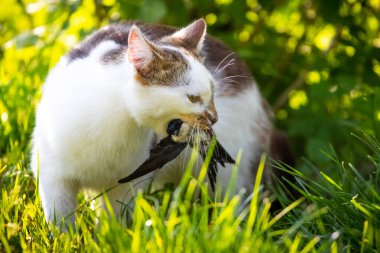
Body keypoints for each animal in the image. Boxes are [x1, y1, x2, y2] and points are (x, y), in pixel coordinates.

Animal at [31, 18, 288, 224]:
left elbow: (117, 223)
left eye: (213, 92)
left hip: (234, 173)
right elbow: (61, 224)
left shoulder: (127, 185)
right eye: (193, 98)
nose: (214, 118)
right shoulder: (53, 178)